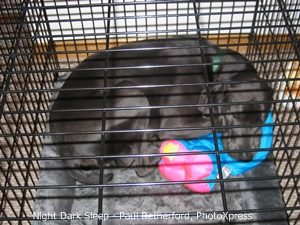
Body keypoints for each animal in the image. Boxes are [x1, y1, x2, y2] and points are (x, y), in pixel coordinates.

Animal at [49, 35, 272, 186]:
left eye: (261, 121)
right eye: (231, 115)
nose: (245, 156)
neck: (212, 67)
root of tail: (63, 150)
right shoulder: (174, 122)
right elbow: (212, 121)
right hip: (133, 94)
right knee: (136, 163)